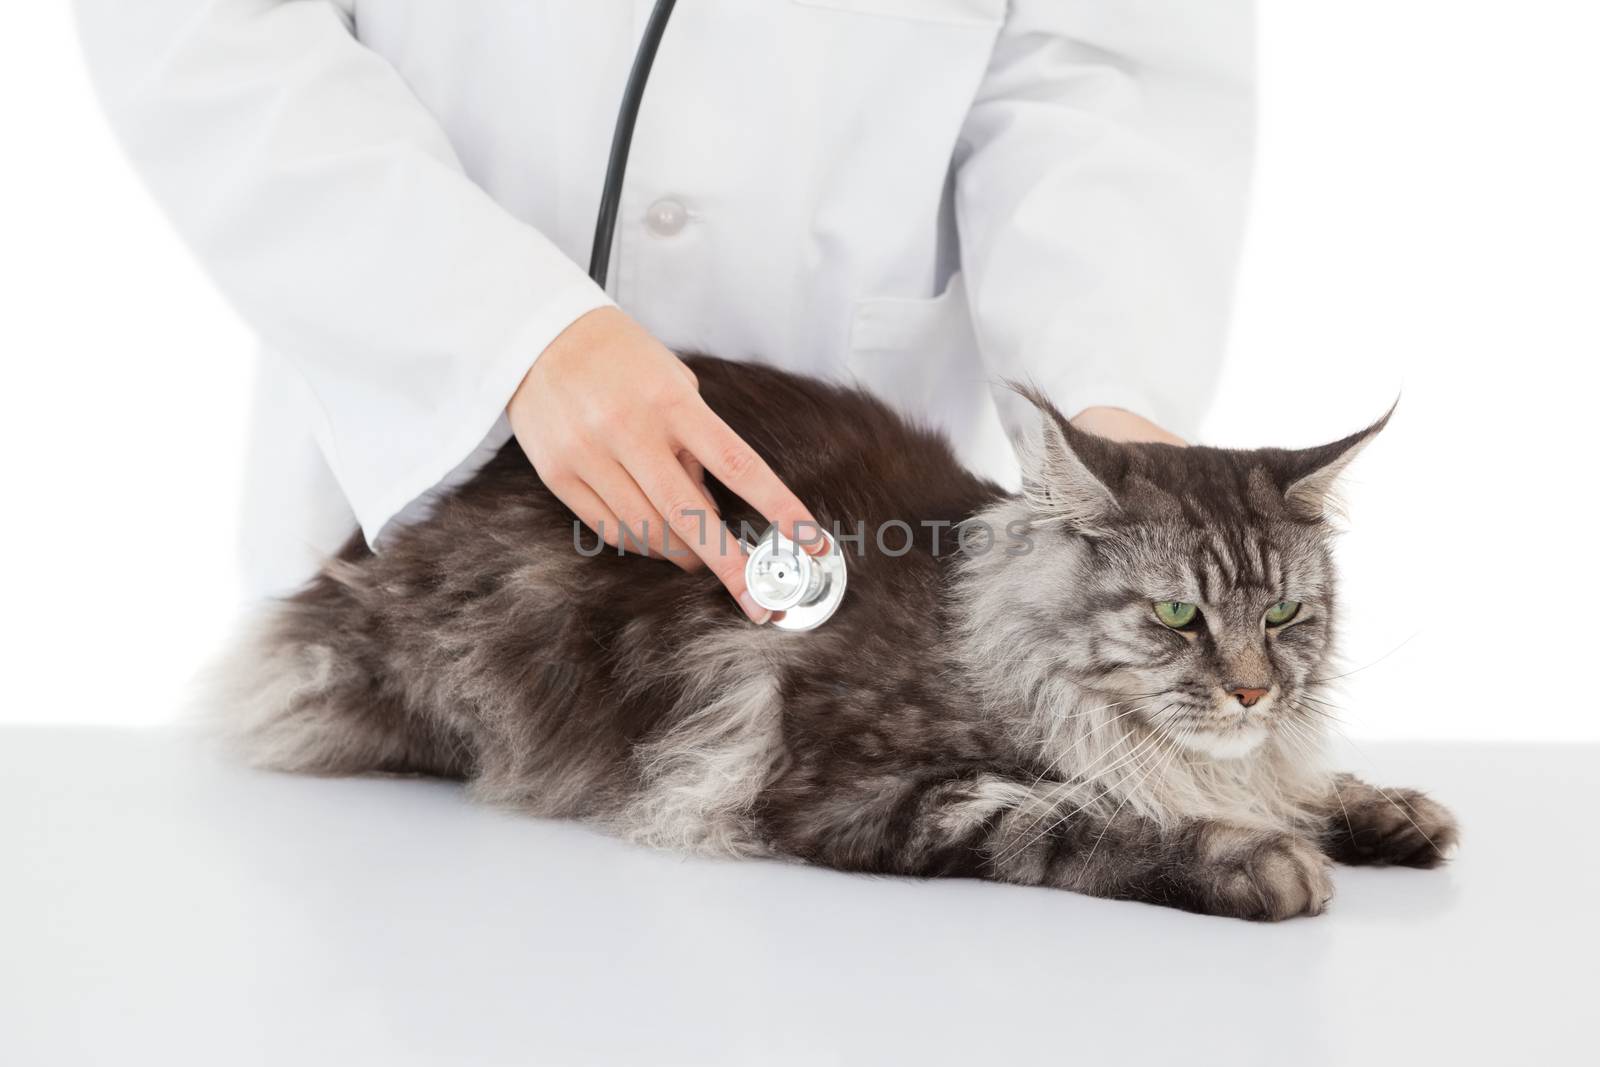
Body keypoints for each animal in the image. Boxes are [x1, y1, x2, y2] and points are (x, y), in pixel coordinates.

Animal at [216, 356, 1465, 921]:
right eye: (1175, 616)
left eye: (1286, 615)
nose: (1252, 691)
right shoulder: (858, 788)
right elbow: (1086, 817)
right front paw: (1255, 857)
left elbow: (1296, 783)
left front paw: (1383, 810)